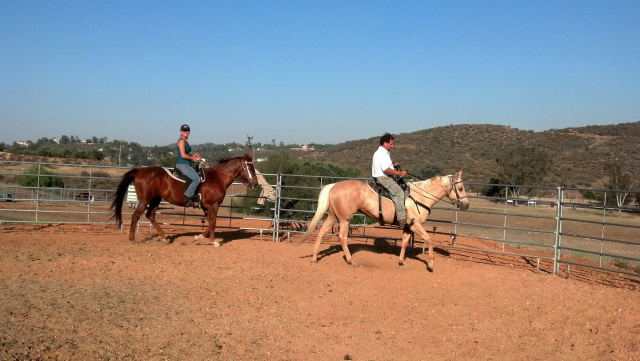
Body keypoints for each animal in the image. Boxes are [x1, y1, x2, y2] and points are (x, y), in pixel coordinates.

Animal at [110, 153, 258, 246]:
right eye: (250, 167)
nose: (255, 184)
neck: (217, 178)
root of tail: (139, 170)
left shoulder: (206, 206)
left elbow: (210, 222)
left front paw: (208, 239)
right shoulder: (213, 205)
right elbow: (213, 222)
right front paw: (206, 240)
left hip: (156, 199)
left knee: (150, 215)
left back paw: (163, 238)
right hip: (144, 200)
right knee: (136, 216)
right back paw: (133, 239)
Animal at [296, 171, 470, 270]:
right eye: (461, 188)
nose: (466, 205)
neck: (420, 196)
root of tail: (334, 185)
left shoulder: (408, 227)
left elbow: (405, 243)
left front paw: (402, 262)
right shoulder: (416, 225)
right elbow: (429, 239)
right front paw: (431, 264)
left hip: (333, 216)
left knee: (321, 232)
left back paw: (314, 258)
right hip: (345, 219)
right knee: (342, 237)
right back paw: (351, 261)